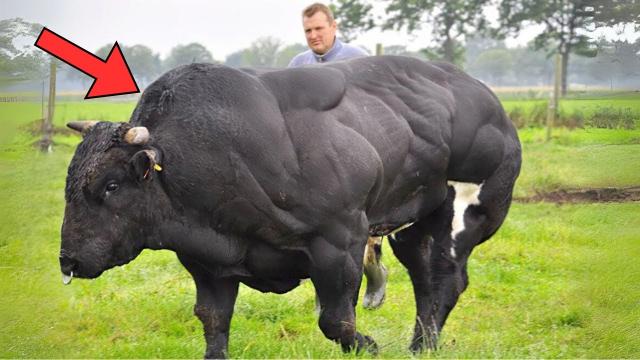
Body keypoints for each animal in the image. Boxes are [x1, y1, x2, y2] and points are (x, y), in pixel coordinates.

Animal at [58, 56, 520, 358]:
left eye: (111, 185)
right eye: (69, 183)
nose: (69, 259)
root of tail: (486, 99)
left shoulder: (340, 238)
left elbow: (337, 320)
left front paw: (369, 345)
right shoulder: (206, 261)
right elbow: (212, 320)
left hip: (465, 211)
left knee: (445, 278)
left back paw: (423, 345)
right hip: (412, 224)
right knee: (424, 279)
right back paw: (421, 345)